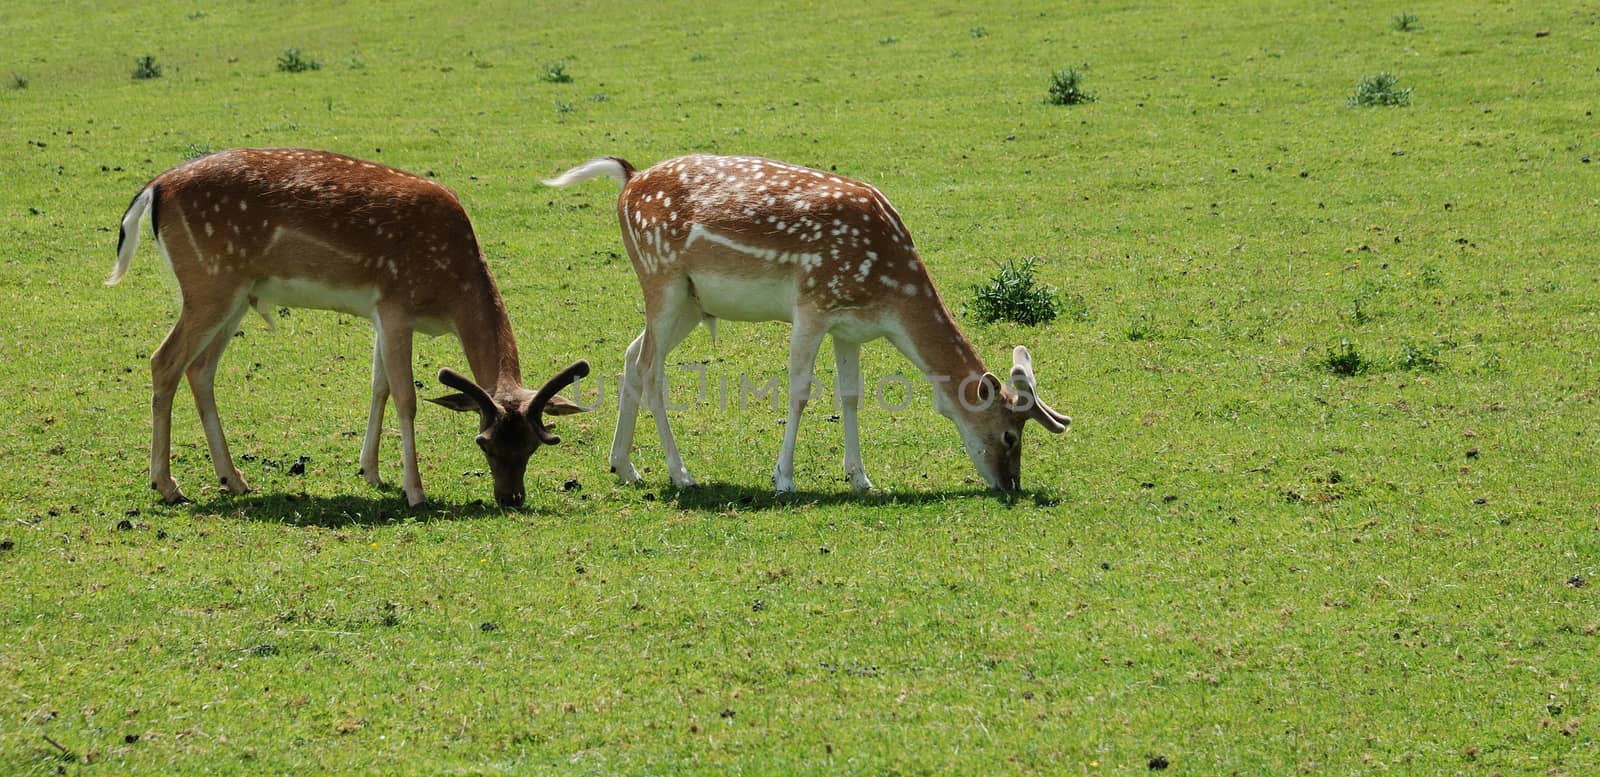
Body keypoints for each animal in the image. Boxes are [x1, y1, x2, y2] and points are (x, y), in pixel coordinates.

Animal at [109, 147, 592, 508]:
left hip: (234, 296)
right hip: (208, 283)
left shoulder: (384, 314)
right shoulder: (396, 302)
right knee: (164, 360)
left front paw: (372, 472)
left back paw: (234, 478)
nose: (510, 498)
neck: (452, 292)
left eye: (534, 444)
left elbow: (379, 387)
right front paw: (415, 492)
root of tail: (153, 189)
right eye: (484, 442)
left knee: (200, 369)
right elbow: (405, 398)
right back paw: (168, 486)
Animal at [544, 153, 1068, 492]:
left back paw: (624, 467)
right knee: (652, 370)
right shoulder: (812, 303)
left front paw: (860, 478)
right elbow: (799, 391)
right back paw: (681, 474)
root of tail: (628, 179)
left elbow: (851, 395)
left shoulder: (850, 327)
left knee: (633, 354)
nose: (1011, 484)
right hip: (661, 277)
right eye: (1010, 434)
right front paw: (784, 479)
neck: (889, 292)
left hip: (690, 302)